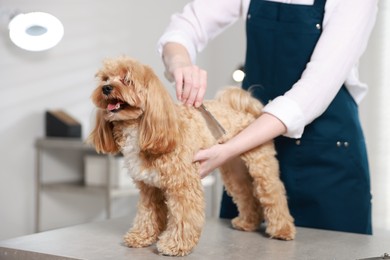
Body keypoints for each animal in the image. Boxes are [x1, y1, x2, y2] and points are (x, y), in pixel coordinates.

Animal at [89, 56, 296, 256]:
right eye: (105, 79)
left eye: (127, 79)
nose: (106, 88)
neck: (142, 128)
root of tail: (244, 108)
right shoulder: (149, 188)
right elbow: (147, 214)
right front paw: (141, 236)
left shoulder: (183, 185)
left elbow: (183, 217)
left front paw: (175, 245)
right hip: (234, 171)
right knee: (246, 194)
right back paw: (247, 222)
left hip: (261, 167)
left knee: (274, 194)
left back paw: (282, 230)